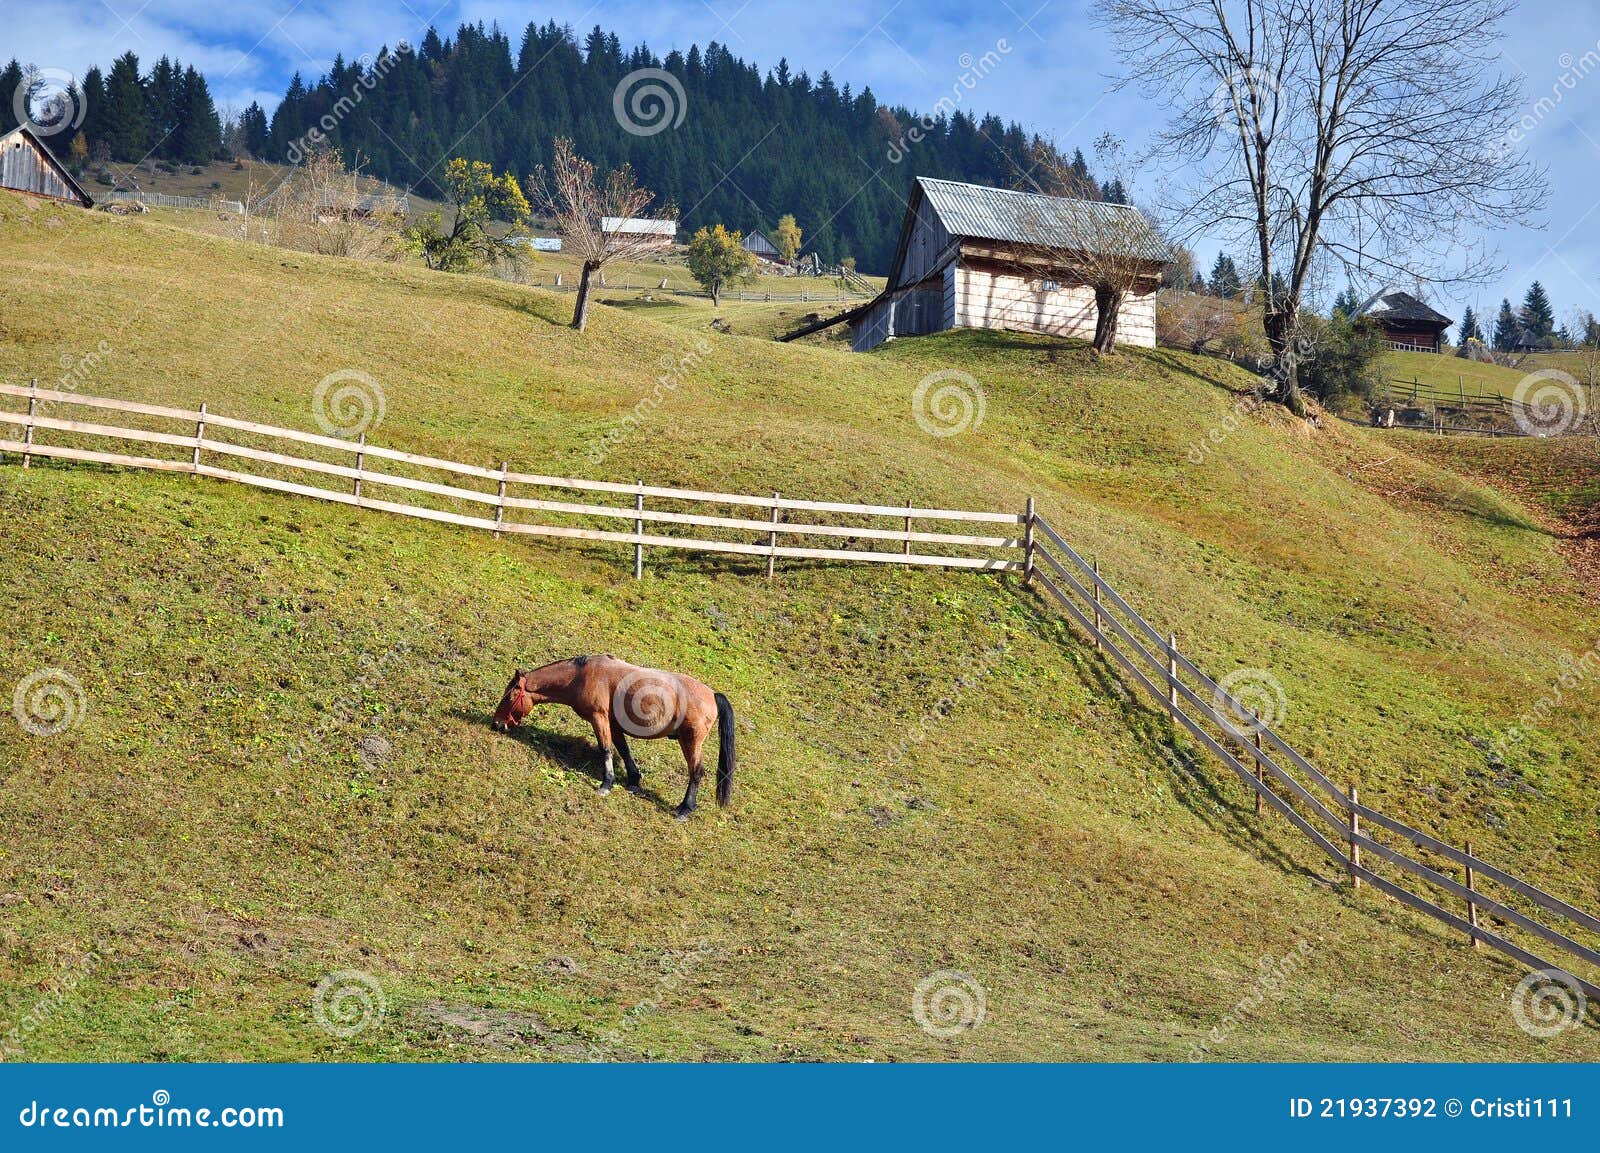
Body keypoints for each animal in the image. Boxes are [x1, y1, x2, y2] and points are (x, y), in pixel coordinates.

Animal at [490, 654, 735, 821]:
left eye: (508, 697)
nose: (496, 724)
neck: (582, 675)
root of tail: (713, 695)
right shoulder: (614, 725)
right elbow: (624, 751)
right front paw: (634, 780)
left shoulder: (599, 718)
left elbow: (605, 749)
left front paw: (606, 783)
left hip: (690, 741)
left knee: (697, 772)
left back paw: (685, 808)